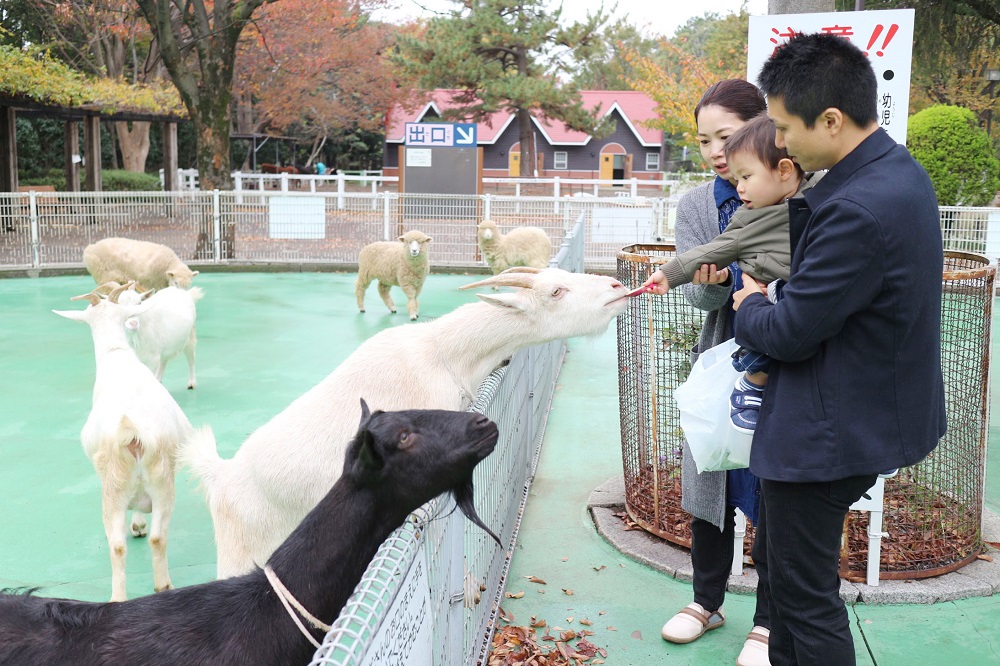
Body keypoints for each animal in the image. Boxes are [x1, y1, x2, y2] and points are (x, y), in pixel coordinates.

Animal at [53, 280, 195, 600]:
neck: (116, 352)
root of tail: (134, 434)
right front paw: (139, 525)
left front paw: (137, 525)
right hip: (159, 482)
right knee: (156, 538)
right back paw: (161, 585)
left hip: (114, 485)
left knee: (118, 545)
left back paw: (119, 596)